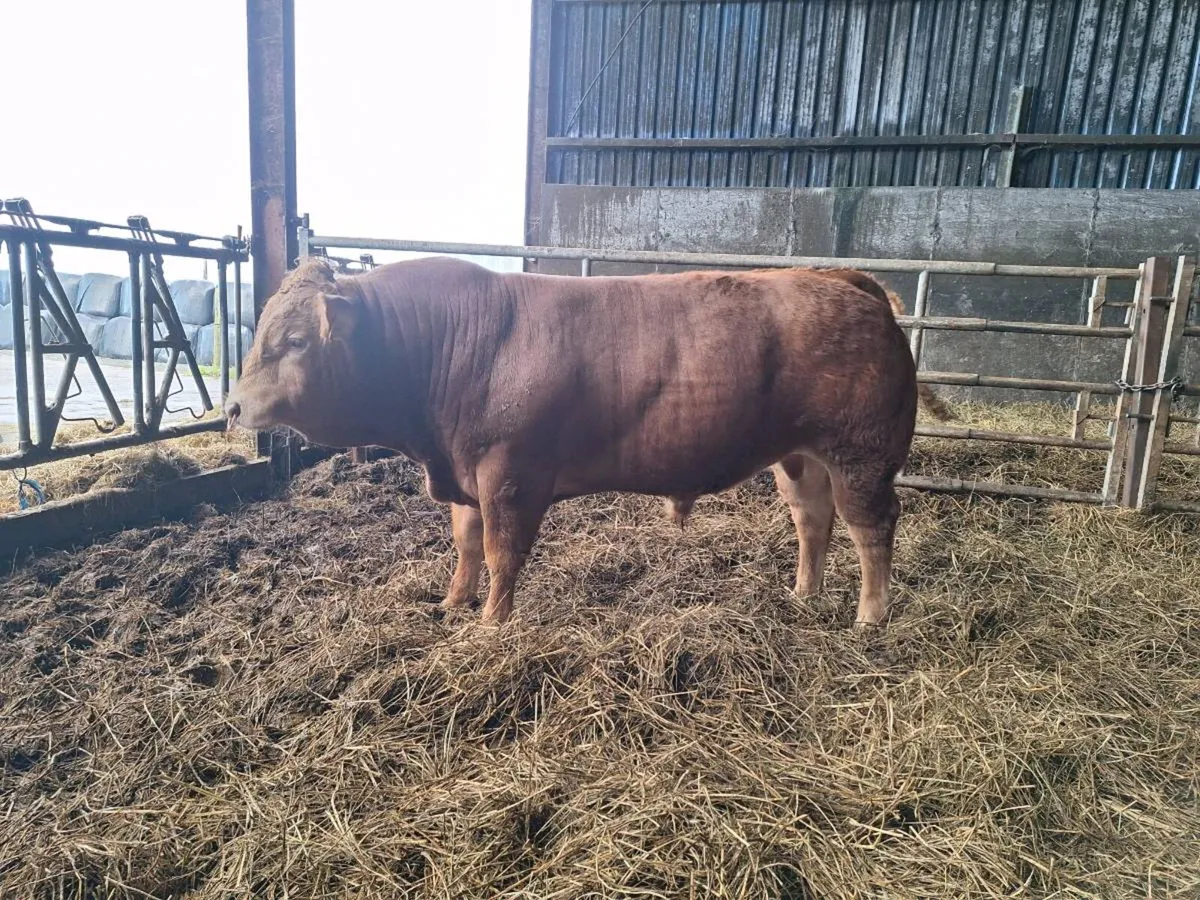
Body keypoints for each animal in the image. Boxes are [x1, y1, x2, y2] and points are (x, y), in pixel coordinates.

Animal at [226, 257, 948, 627]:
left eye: (295, 340)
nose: (232, 406)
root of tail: (839, 277)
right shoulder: (465, 472)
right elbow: (465, 544)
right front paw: (452, 601)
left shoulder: (509, 475)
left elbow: (502, 552)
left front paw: (490, 625)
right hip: (799, 457)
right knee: (812, 520)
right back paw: (803, 594)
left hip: (862, 455)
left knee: (872, 528)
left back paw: (870, 616)